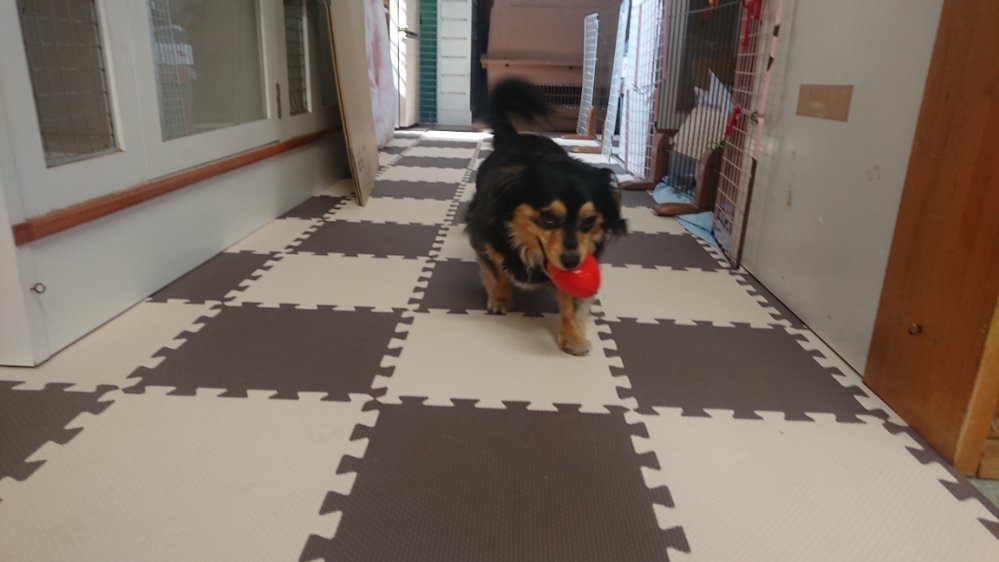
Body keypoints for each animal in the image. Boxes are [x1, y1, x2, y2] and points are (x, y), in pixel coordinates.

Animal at [466, 79, 627, 356]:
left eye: (589, 222)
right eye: (548, 218)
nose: (572, 261)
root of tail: (516, 136)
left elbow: (572, 305)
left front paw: (573, 337)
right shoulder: (485, 241)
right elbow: (496, 274)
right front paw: (500, 299)